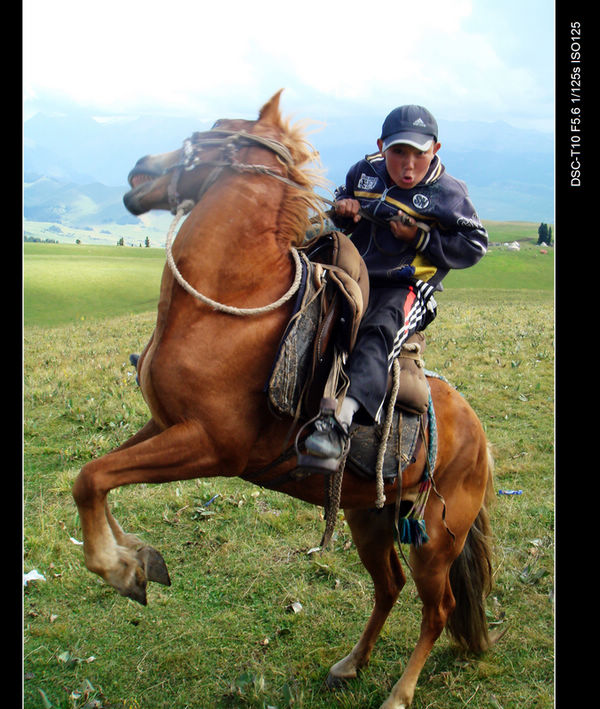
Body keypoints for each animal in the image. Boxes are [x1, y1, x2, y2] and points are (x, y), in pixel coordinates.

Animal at [72, 92, 494, 708]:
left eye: (219, 131)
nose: (141, 170)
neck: (231, 303)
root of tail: (480, 438)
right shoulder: (165, 425)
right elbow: (95, 477)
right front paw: (138, 559)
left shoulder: (210, 445)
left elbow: (94, 478)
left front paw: (121, 569)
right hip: (369, 517)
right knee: (388, 587)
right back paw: (350, 663)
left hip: (438, 539)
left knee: (437, 609)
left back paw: (399, 691)